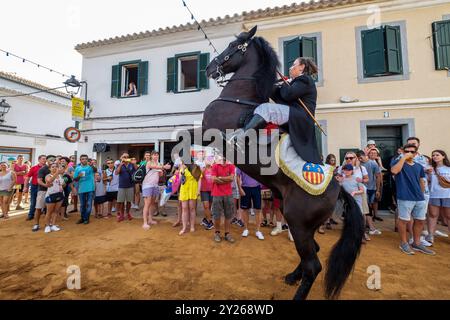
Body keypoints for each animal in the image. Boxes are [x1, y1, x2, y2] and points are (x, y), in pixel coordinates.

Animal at [199, 25, 364, 300]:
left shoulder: (207, 133)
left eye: (233, 46)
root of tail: (338, 188)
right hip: (300, 225)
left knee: (313, 265)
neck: (239, 100)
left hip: (298, 223)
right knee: (313, 252)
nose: (209, 68)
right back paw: (292, 276)